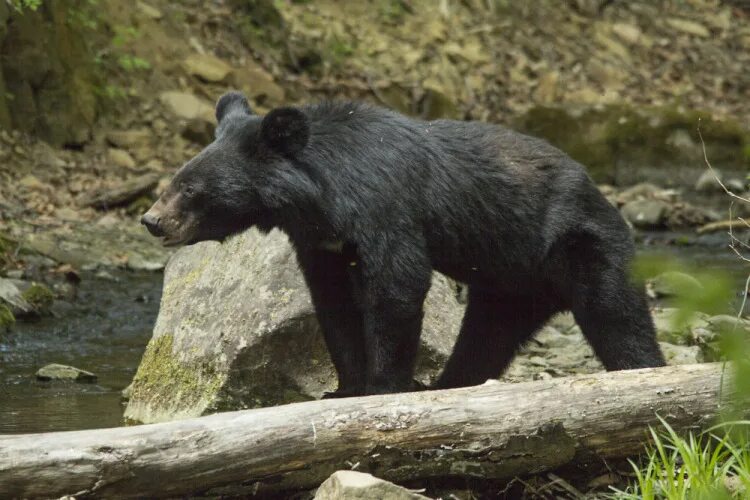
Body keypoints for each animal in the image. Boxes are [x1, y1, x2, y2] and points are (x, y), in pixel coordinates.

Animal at [144, 90, 668, 394]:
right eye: (175, 181)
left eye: (190, 189)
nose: (152, 221)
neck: (321, 200)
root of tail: (602, 196)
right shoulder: (320, 244)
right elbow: (333, 305)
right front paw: (345, 387)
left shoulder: (387, 208)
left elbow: (397, 288)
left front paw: (383, 386)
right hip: (509, 284)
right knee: (486, 337)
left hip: (581, 245)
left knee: (617, 317)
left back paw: (643, 373)